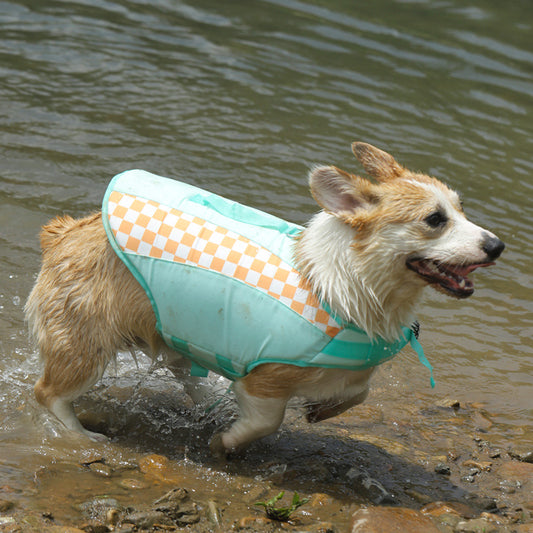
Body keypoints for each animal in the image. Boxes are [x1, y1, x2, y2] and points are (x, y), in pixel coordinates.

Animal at [25, 143, 502, 456]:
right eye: (435, 220)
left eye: (461, 210)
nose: (497, 246)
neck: (346, 285)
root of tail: (63, 234)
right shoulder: (265, 380)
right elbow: (265, 421)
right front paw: (226, 442)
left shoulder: (350, 371)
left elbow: (359, 392)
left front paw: (320, 410)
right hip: (85, 348)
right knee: (48, 394)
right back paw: (80, 437)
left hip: (174, 333)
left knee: (185, 373)